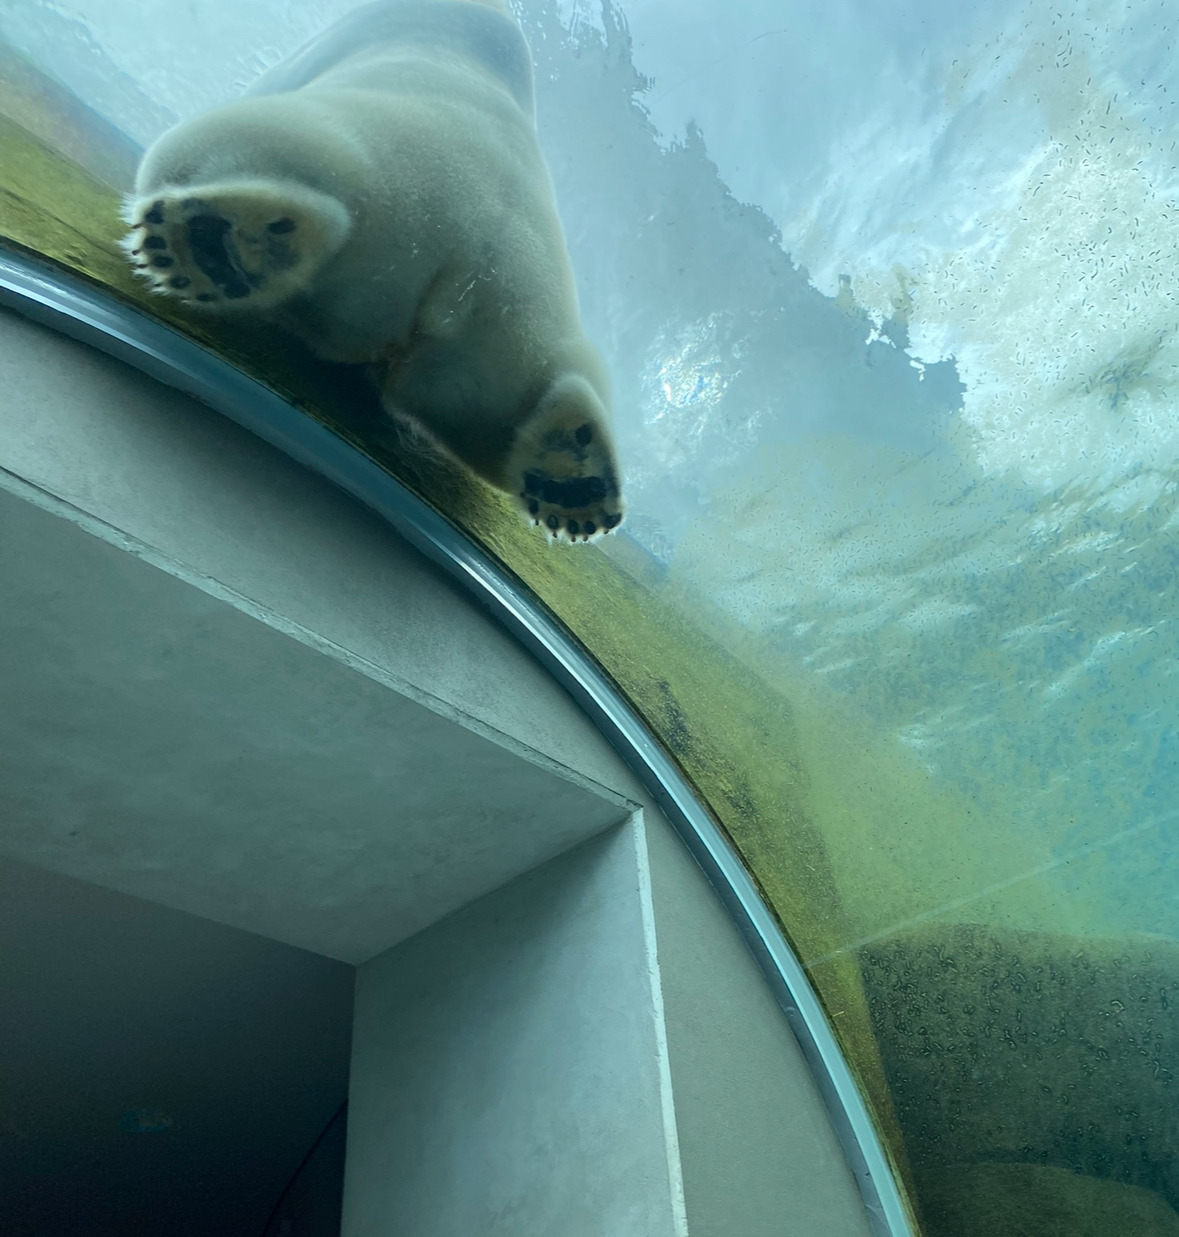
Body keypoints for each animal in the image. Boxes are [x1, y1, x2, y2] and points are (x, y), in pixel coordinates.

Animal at [121, 0, 623, 542]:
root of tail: (457, 264)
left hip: (347, 149)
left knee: (217, 144)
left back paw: (217, 244)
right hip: (518, 304)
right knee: (516, 396)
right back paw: (573, 474)